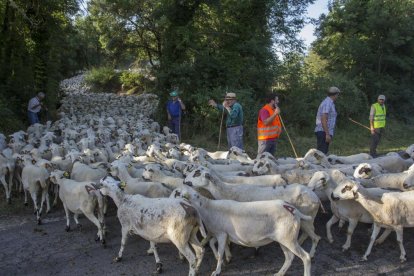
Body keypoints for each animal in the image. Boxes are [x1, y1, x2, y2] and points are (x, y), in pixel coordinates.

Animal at [171, 185, 310, 276]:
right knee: (289, 257)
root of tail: (294, 211)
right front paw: (225, 259)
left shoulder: (222, 234)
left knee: (306, 257)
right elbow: (211, 244)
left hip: (289, 238)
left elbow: (220, 252)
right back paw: (279, 273)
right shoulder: (220, 233)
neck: (207, 207)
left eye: (178, 193)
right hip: (283, 239)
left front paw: (217, 270)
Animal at [183, 167, 322, 258]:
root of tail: (314, 194)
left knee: (316, 237)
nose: (184, 181)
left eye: (196, 173)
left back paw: (311, 254)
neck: (227, 190)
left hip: (307, 217)